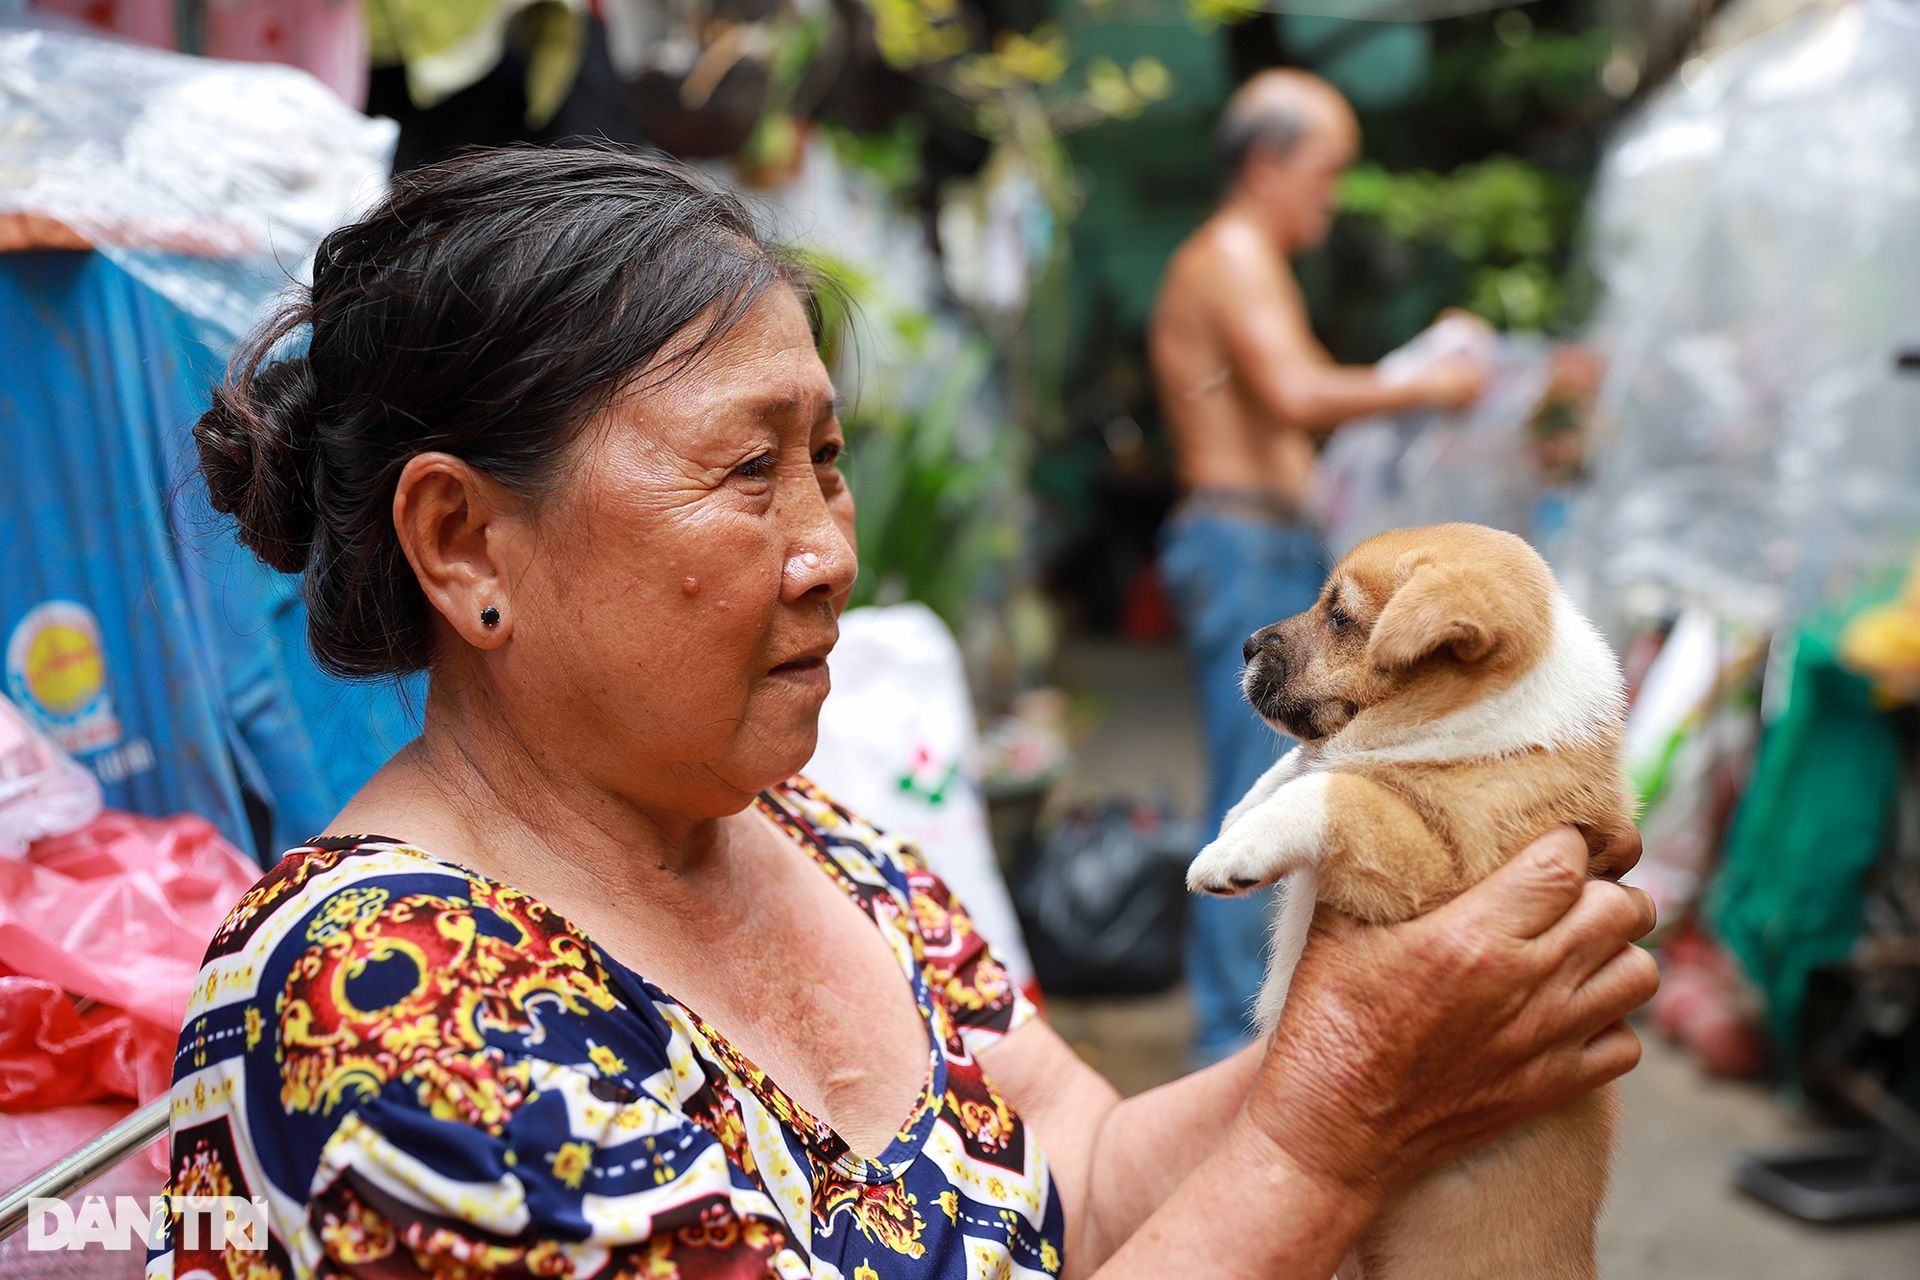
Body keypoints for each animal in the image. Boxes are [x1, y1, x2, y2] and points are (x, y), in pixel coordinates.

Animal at [1190, 521, 1628, 1280]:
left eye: (1341, 617)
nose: (1244, 645)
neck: (1475, 726)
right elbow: (1304, 764)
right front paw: (1236, 820)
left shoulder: (1435, 859)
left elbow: (1336, 787)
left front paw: (1228, 853)